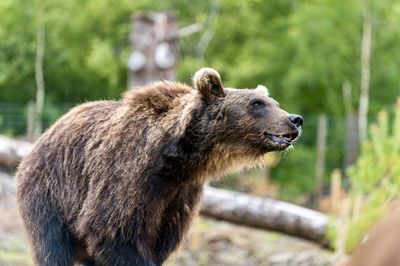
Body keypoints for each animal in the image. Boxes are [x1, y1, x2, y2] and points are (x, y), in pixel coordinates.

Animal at [16, 67, 304, 264]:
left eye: (275, 103)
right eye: (256, 103)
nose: (295, 119)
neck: (177, 160)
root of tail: (43, 136)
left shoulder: (179, 196)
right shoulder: (127, 176)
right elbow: (112, 229)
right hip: (51, 194)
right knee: (52, 247)